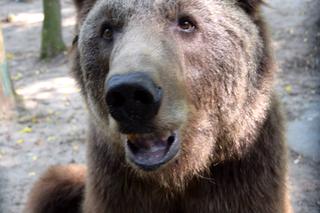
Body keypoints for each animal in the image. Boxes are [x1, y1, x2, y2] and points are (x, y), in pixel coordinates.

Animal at [25, 0, 292, 212]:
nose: (129, 93)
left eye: (186, 22)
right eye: (107, 29)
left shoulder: (243, 174)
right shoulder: (116, 185)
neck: (176, 176)